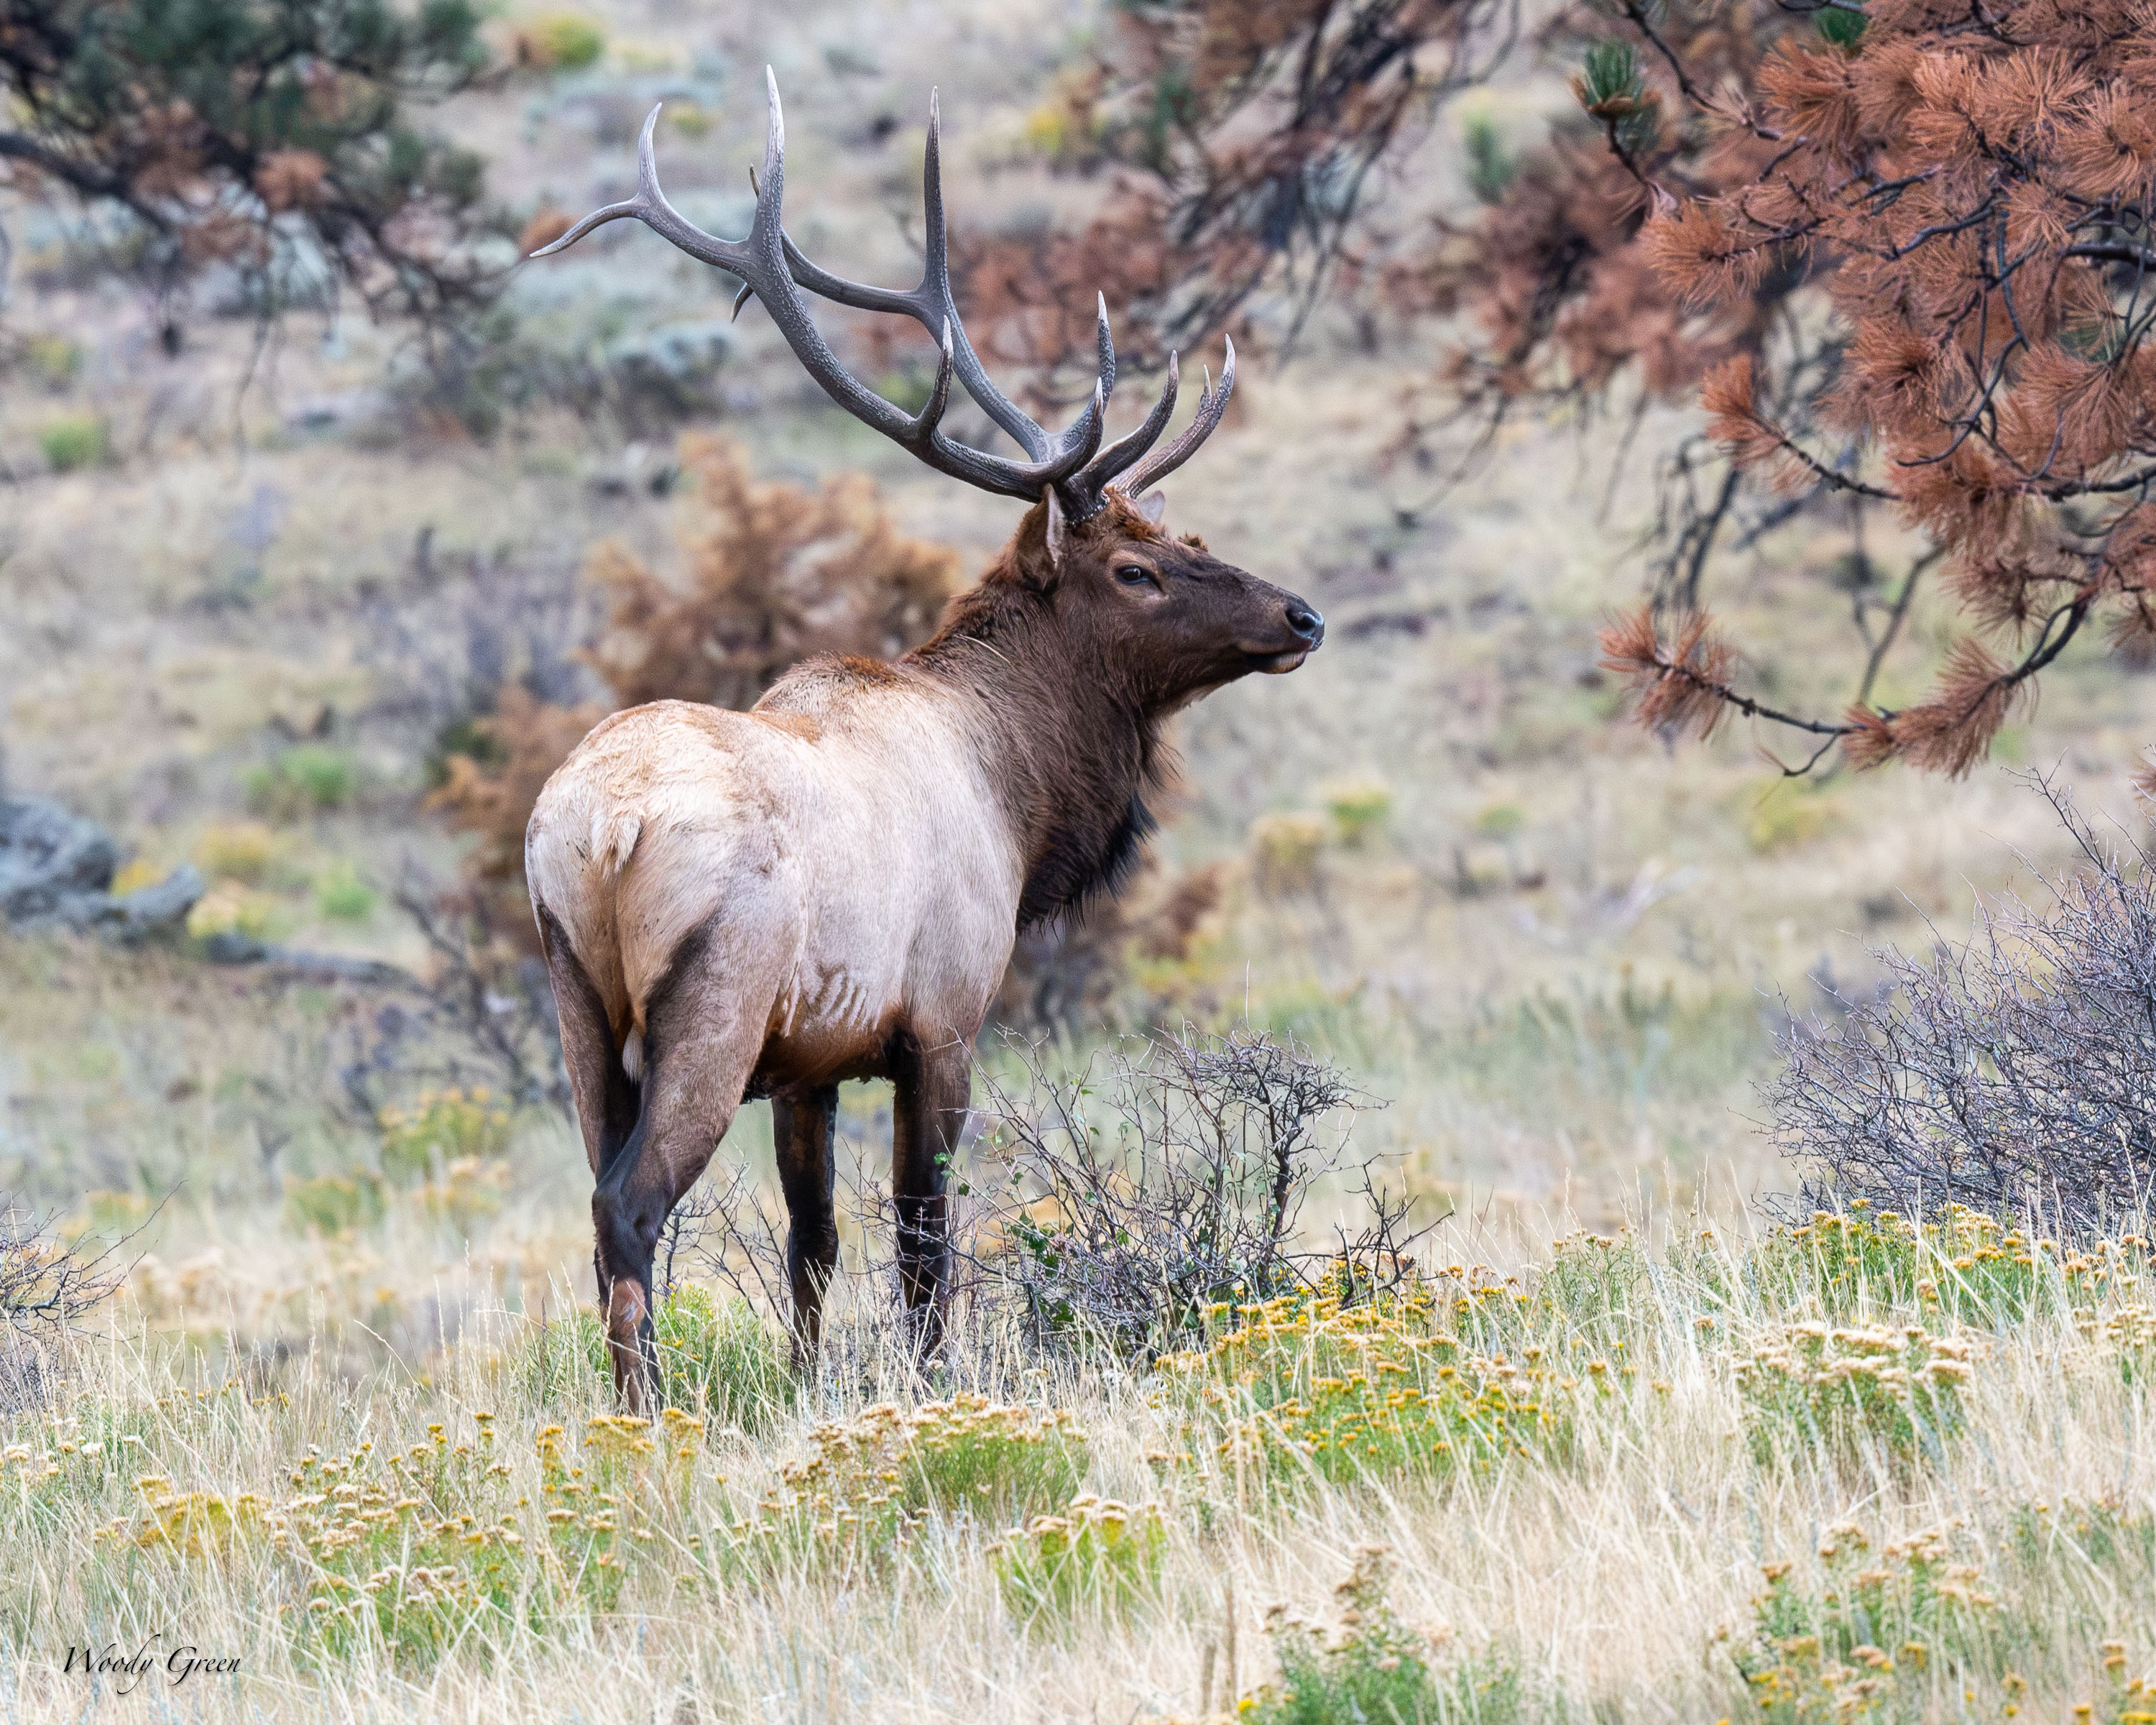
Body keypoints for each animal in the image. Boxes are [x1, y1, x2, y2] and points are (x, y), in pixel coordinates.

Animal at [525, 73, 1325, 1409]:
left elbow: (812, 1239)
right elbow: (921, 1236)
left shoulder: (808, 1061)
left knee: (596, 1212)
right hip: (712, 999)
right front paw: (932, 1389)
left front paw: (807, 1390)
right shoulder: (943, 1017)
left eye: (1186, 534)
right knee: (630, 1209)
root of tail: (596, 829)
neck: (1021, 798)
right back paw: (645, 1421)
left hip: (578, 1007)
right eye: (1137, 570)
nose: (1301, 615)